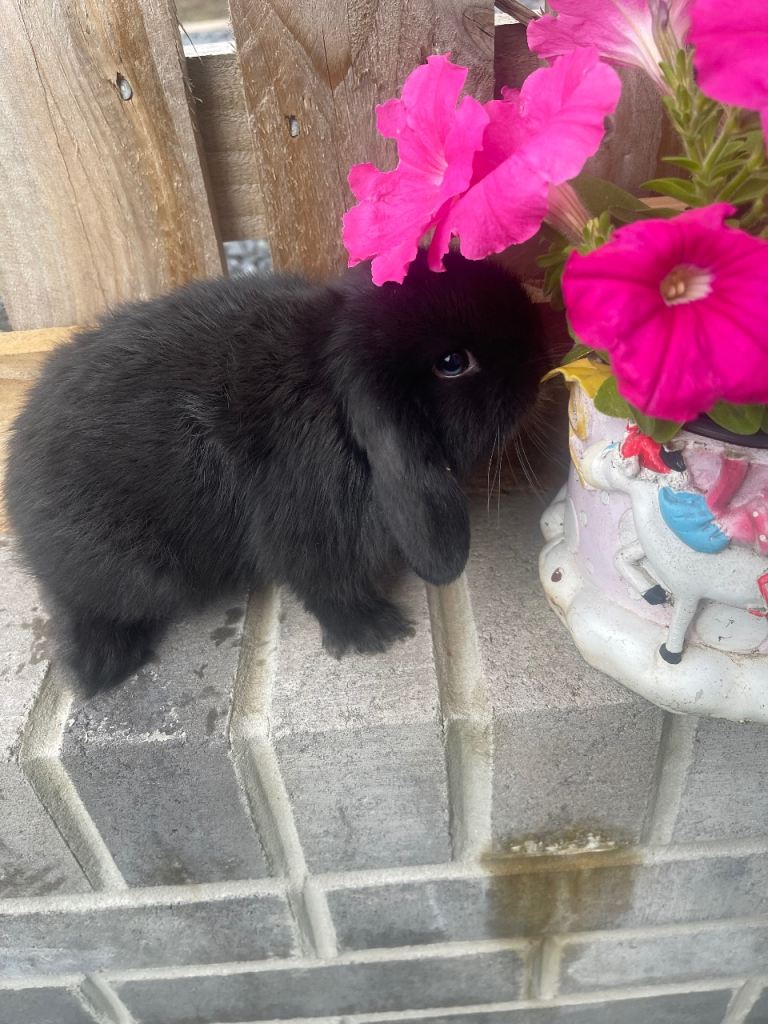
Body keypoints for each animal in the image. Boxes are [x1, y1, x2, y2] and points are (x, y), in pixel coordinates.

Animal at [6, 250, 543, 695]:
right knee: (79, 603)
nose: (542, 343)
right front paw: (376, 632)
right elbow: (327, 585)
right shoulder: (309, 533)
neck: (334, 396)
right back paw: (101, 665)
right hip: (134, 569)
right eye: (452, 362)